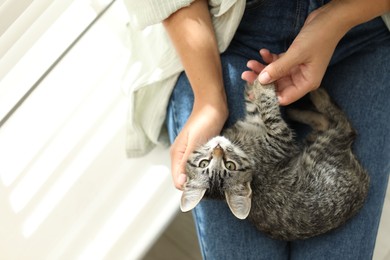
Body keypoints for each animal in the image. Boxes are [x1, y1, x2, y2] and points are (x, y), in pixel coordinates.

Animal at [180, 80, 368, 241]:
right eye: (229, 165)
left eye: (204, 163)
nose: (218, 149)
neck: (239, 142)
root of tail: (363, 186)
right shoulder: (279, 139)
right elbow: (268, 109)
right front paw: (263, 87)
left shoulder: (258, 123)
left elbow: (256, 108)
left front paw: (254, 81)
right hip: (321, 149)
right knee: (342, 125)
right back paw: (316, 96)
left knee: (327, 123)